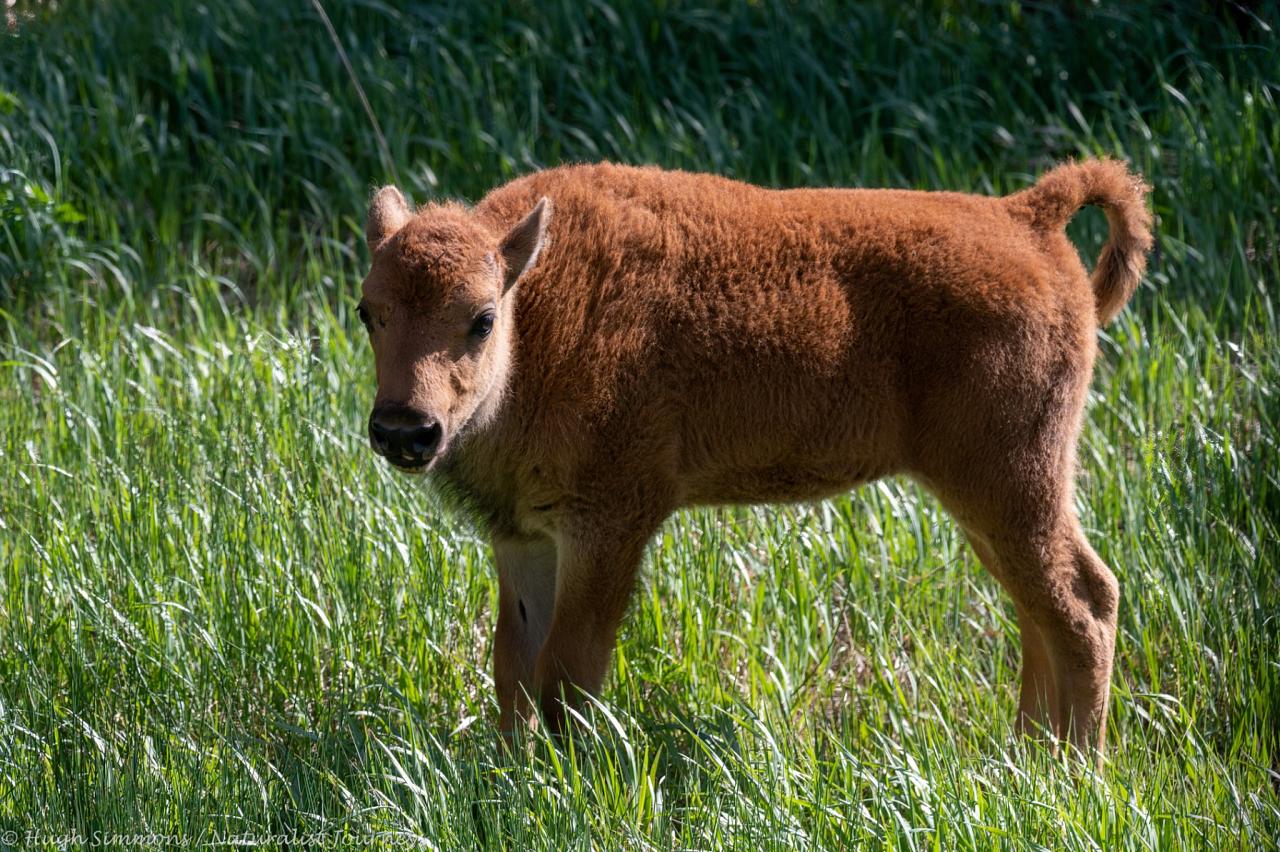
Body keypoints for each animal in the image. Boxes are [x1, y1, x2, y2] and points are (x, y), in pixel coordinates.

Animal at [358, 159, 1152, 757]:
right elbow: (513, 665)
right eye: (369, 311)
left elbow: (566, 671)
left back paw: (1073, 770)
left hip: (1011, 484)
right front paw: (509, 770)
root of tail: (1027, 218)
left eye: (481, 318)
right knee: (1041, 614)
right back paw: (1025, 757)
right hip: (993, 504)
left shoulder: (607, 526)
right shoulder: (524, 536)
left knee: (1083, 606)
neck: (541, 310)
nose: (405, 429)